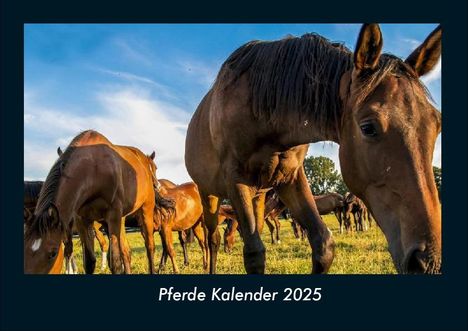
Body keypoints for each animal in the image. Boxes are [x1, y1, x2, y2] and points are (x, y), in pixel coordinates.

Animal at [24, 130, 161, 274]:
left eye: (53, 253)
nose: (157, 185)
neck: (94, 169)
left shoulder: (113, 216)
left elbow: (115, 264)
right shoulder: (81, 220)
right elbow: (89, 262)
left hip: (146, 209)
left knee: (149, 246)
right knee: (126, 251)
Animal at [185, 24, 440, 274]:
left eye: (437, 124)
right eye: (368, 128)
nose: (427, 261)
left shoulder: (291, 178)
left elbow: (323, 246)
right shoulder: (236, 180)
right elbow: (254, 255)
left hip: (258, 196)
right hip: (210, 195)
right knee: (213, 238)